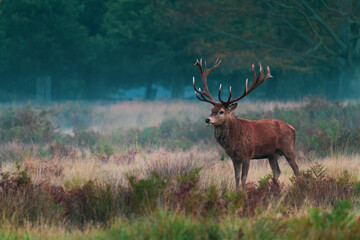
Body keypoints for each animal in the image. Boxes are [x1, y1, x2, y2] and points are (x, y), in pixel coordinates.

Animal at [193, 58, 300, 189]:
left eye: (221, 111)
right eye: (212, 110)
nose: (207, 120)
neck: (234, 140)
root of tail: (293, 128)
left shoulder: (247, 154)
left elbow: (244, 178)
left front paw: (244, 192)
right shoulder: (234, 157)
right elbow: (236, 178)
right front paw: (236, 191)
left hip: (288, 148)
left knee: (296, 169)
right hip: (272, 154)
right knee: (277, 171)